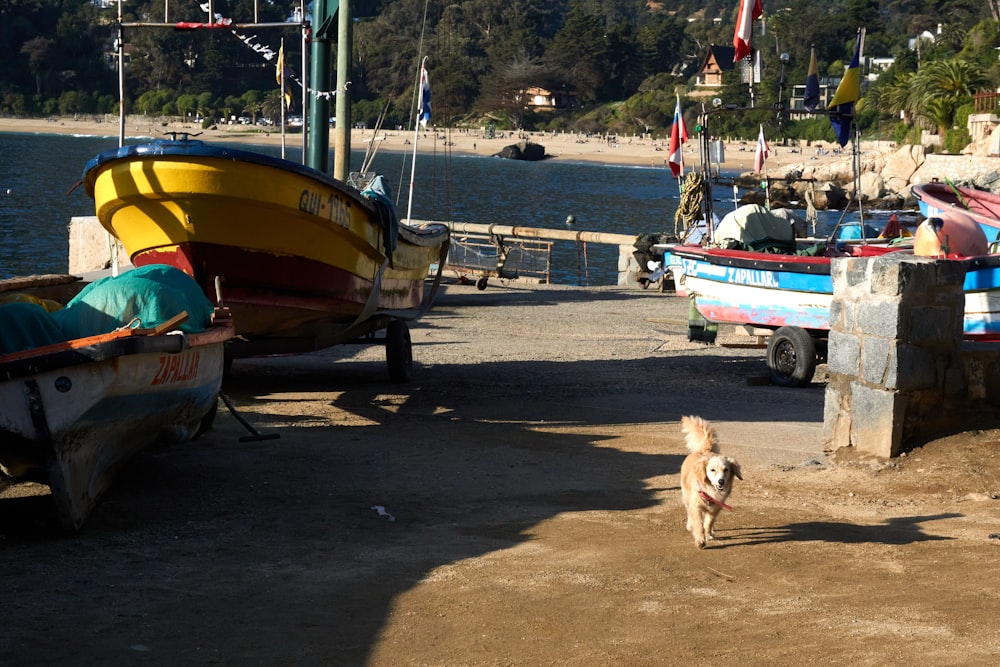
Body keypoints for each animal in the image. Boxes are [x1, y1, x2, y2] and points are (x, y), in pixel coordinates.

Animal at [680, 418, 744, 548]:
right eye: (712, 470)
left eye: (726, 470)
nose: (721, 481)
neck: (710, 491)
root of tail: (705, 450)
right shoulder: (696, 507)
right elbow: (698, 524)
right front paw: (700, 540)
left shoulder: (715, 509)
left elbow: (708, 523)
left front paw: (708, 533)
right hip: (686, 497)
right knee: (689, 512)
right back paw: (690, 525)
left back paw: (711, 532)